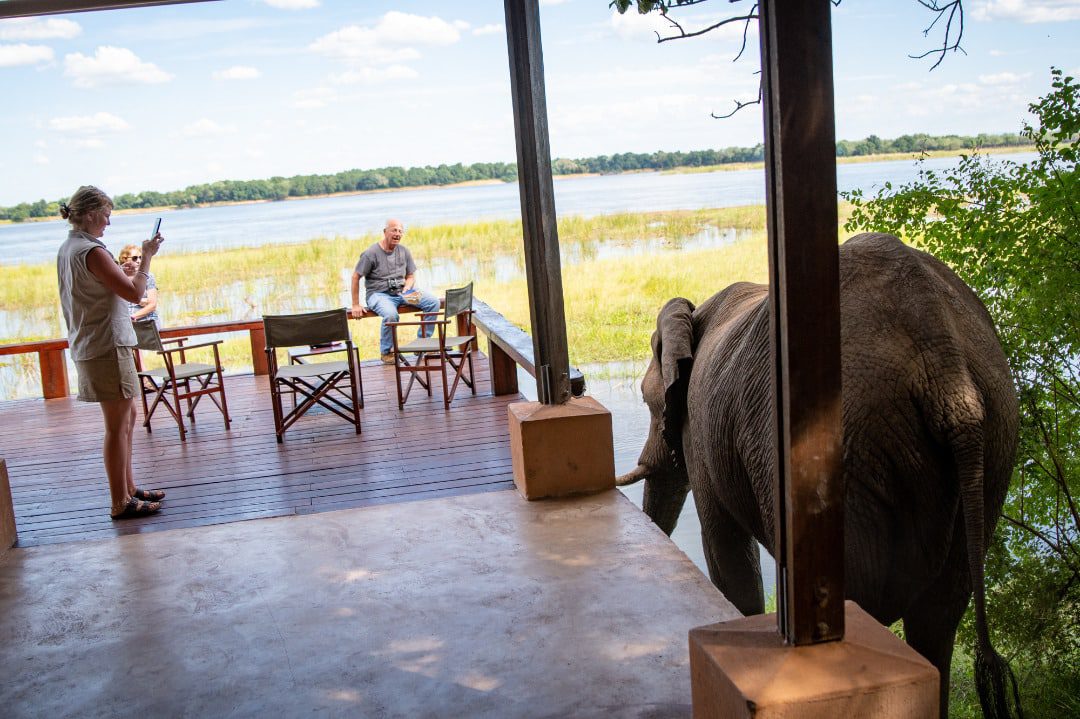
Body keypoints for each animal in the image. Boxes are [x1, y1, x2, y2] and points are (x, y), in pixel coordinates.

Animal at [622, 232, 1015, 712]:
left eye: (648, 401)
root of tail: (944, 363)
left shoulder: (700, 428)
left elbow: (728, 558)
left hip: (852, 451)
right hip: (993, 444)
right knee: (937, 620)